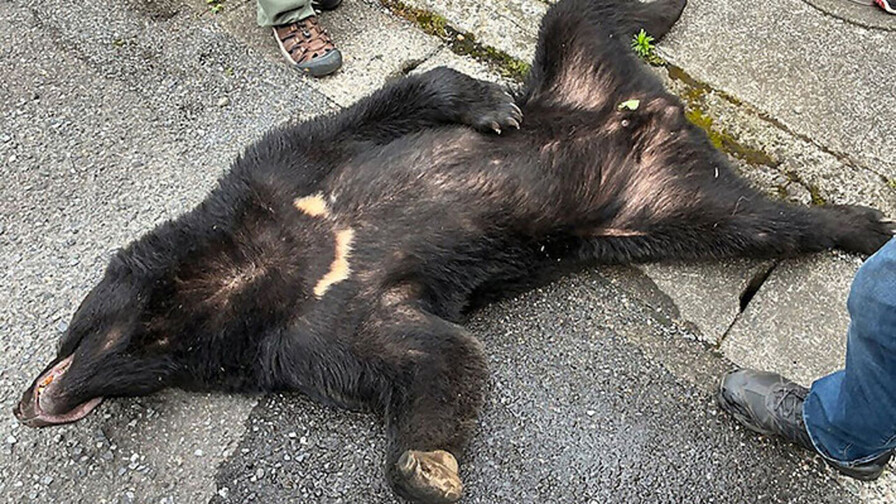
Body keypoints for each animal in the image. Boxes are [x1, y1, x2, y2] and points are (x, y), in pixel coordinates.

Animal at [13, 0, 894, 502]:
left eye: (71, 324)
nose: (29, 404)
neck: (249, 277)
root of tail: (656, 112)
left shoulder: (280, 174)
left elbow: (386, 106)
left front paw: (489, 106)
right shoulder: (308, 335)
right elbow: (437, 357)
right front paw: (427, 468)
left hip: (576, 72)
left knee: (580, 10)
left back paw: (864, 222)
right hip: (670, 207)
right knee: (763, 222)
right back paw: (858, 225)